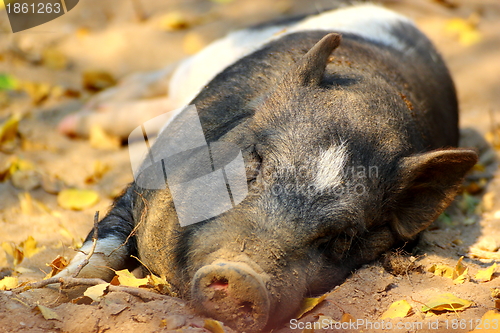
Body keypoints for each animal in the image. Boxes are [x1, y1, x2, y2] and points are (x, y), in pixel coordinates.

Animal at [56, 3, 478, 330]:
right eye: (255, 163)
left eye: (342, 238)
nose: (244, 276)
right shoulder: (142, 183)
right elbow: (103, 244)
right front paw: (63, 289)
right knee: (164, 75)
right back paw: (79, 116)